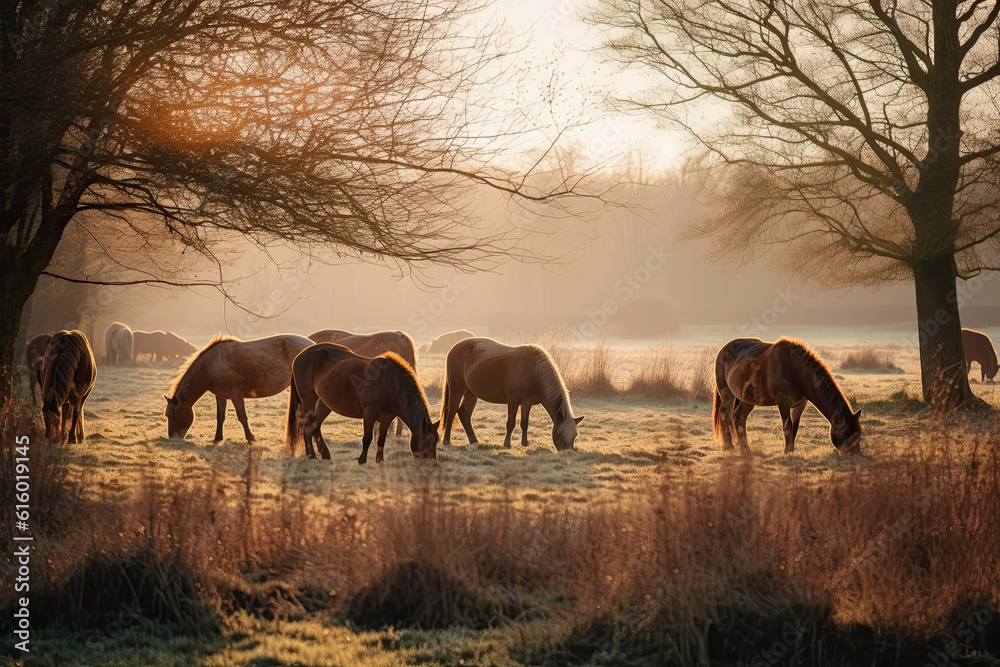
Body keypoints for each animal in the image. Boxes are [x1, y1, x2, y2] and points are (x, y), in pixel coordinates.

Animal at [165, 333, 313, 443]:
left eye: (171, 414)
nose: (172, 438)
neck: (212, 364)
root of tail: (312, 345)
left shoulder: (235, 395)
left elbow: (242, 416)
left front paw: (250, 438)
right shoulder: (221, 396)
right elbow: (220, 416)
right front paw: (217, 438)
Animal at [285, 343, 439, 464]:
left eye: (436, 441)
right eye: (427, 441)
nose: (432, 463)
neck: (390, 383)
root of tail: (298, 357)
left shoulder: (387, 418)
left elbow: (381, 439)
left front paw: (379, 460)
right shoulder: (369, 414)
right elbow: (368, 437)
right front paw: (362, 460)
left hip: (325, 403)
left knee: (315, 425)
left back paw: (325, 454)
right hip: (308, 401)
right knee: (307, 425)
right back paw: (311, 455)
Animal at [441, 337, 583, 452]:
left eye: (575, 436)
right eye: (561, 434)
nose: (567, 452)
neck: (533, 372)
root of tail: (453, 348)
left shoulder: (527, 403)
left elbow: (524, 423)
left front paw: (525, 443)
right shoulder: (513, 401)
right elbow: (511, 422)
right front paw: (507, 444)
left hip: (471, 393)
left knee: (464, 413)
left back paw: (474, 440)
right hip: (457, 390)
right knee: (451, 412)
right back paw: (446, 441)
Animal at [713, 337, 861, 455]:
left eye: (859, 433)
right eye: (849, 434)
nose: (856, 455)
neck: (794, 369)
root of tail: (722, 350)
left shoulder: (800, 404)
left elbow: (795, 427)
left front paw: (791, 451)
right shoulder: (783, 403)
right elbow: (787, 427)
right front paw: (787, 451)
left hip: (747, 399)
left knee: (739, 417)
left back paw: (745, 448)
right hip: (727, 393)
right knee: (726, 415)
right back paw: (729, 446)